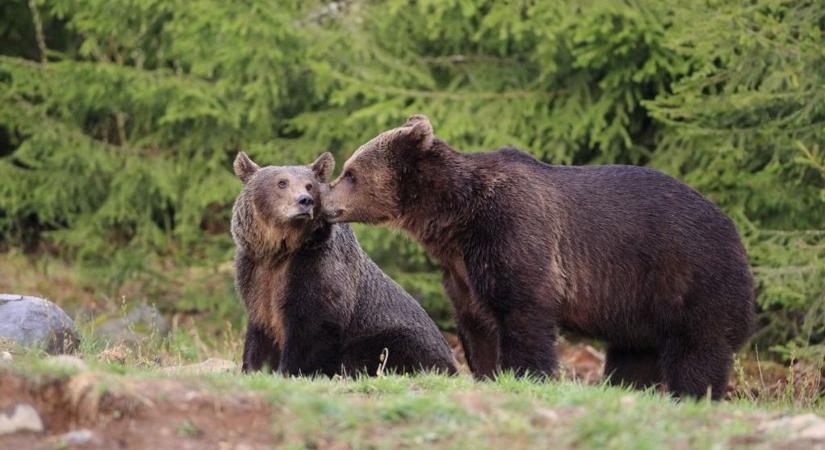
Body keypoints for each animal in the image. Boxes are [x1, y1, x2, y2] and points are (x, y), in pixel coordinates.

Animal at [232, 151, 458, 376]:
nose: (305, 201)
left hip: (394, 337)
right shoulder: (255, 274)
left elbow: (311, 326)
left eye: (310, 185)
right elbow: (260, 329)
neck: (281, 250)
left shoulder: (315, 267)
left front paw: (289, 370)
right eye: (282, 182)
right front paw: (254, 367)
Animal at [320, 114, 752, 400]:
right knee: (634, 352)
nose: (321, 199)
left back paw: (693, 394)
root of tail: (733, 230)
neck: (455, 218)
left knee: (698, 349)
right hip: (637, 305)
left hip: (690, 275)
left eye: (351, 173)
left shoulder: (514, 231)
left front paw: (526, 376)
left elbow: (524, 312)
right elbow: (478, 325)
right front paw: (487, 374)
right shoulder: (463, 270)